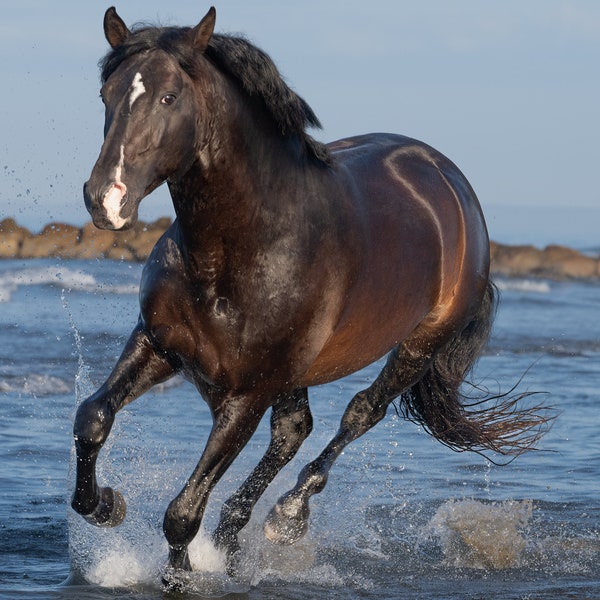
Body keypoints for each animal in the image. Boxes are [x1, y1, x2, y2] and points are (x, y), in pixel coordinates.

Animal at [71, 4, 548, 576]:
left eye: (168, 97)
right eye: (106, 94)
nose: (105, 199)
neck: (236, 252)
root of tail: (451, 182)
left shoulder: (248, 393)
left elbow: (183, 511)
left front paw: (181, 574)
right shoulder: (158, 343)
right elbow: (93, 418)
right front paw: (104, 505)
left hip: (418, 345)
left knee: (359, 413)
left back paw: (288, 516)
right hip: (295, 369)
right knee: (293, 431)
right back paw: (234, 536)